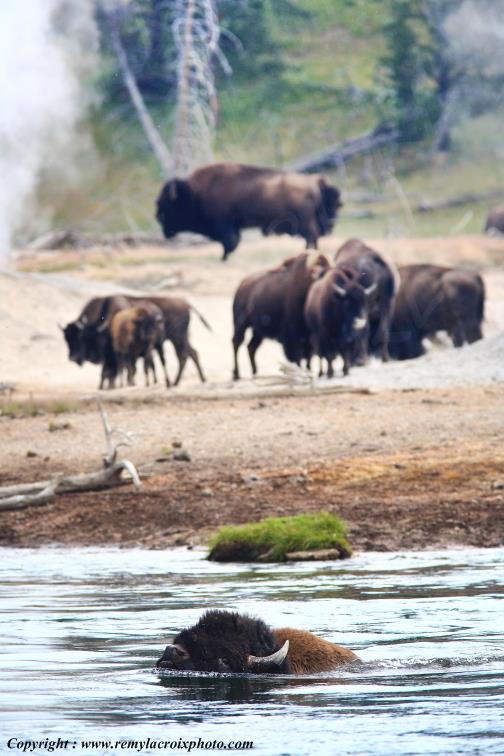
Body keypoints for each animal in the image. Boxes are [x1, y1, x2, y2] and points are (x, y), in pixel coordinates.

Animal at [156, 163, 342, 260]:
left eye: (169, 204)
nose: (157, 215)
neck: (195, 192)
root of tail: (313, 182)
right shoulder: (232, 226)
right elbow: (233, 241)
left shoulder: (224, 224)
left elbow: (229, 242)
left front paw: (224, 258)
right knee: (312, 237)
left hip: (305, 222)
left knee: (311, 236)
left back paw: (308, 253)